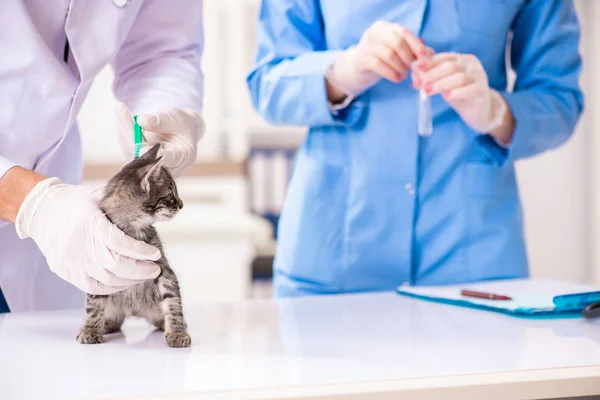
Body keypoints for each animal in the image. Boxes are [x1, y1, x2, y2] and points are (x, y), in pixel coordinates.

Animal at [76, 143, 191, 346]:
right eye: (171, 195)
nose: (182, 204)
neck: (133, 228)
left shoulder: (163, 268)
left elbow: (173, 300)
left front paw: (178, 332)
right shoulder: (101, 271)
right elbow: (94, 303)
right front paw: (90, 328)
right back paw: (106, 323)